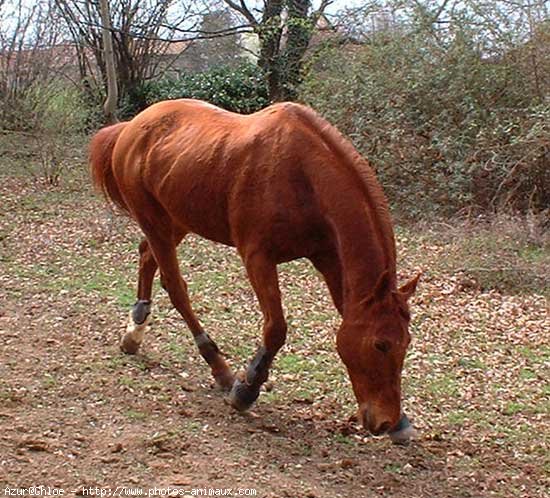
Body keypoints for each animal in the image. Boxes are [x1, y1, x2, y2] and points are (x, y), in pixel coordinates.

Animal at [89, 99, 422, 442]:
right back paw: (218, 367)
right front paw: (246, 389)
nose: (385, 420)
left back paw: (134, 332)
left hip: (176, 220)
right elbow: (276, 329)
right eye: (380, 345)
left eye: (405, 343)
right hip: (153, 219)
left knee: (146, 257)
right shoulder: (258, 258)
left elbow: (345, 311)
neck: (303, 177)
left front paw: (402, 422)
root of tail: (131, 126)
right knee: (175, 287)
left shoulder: (328, 258)